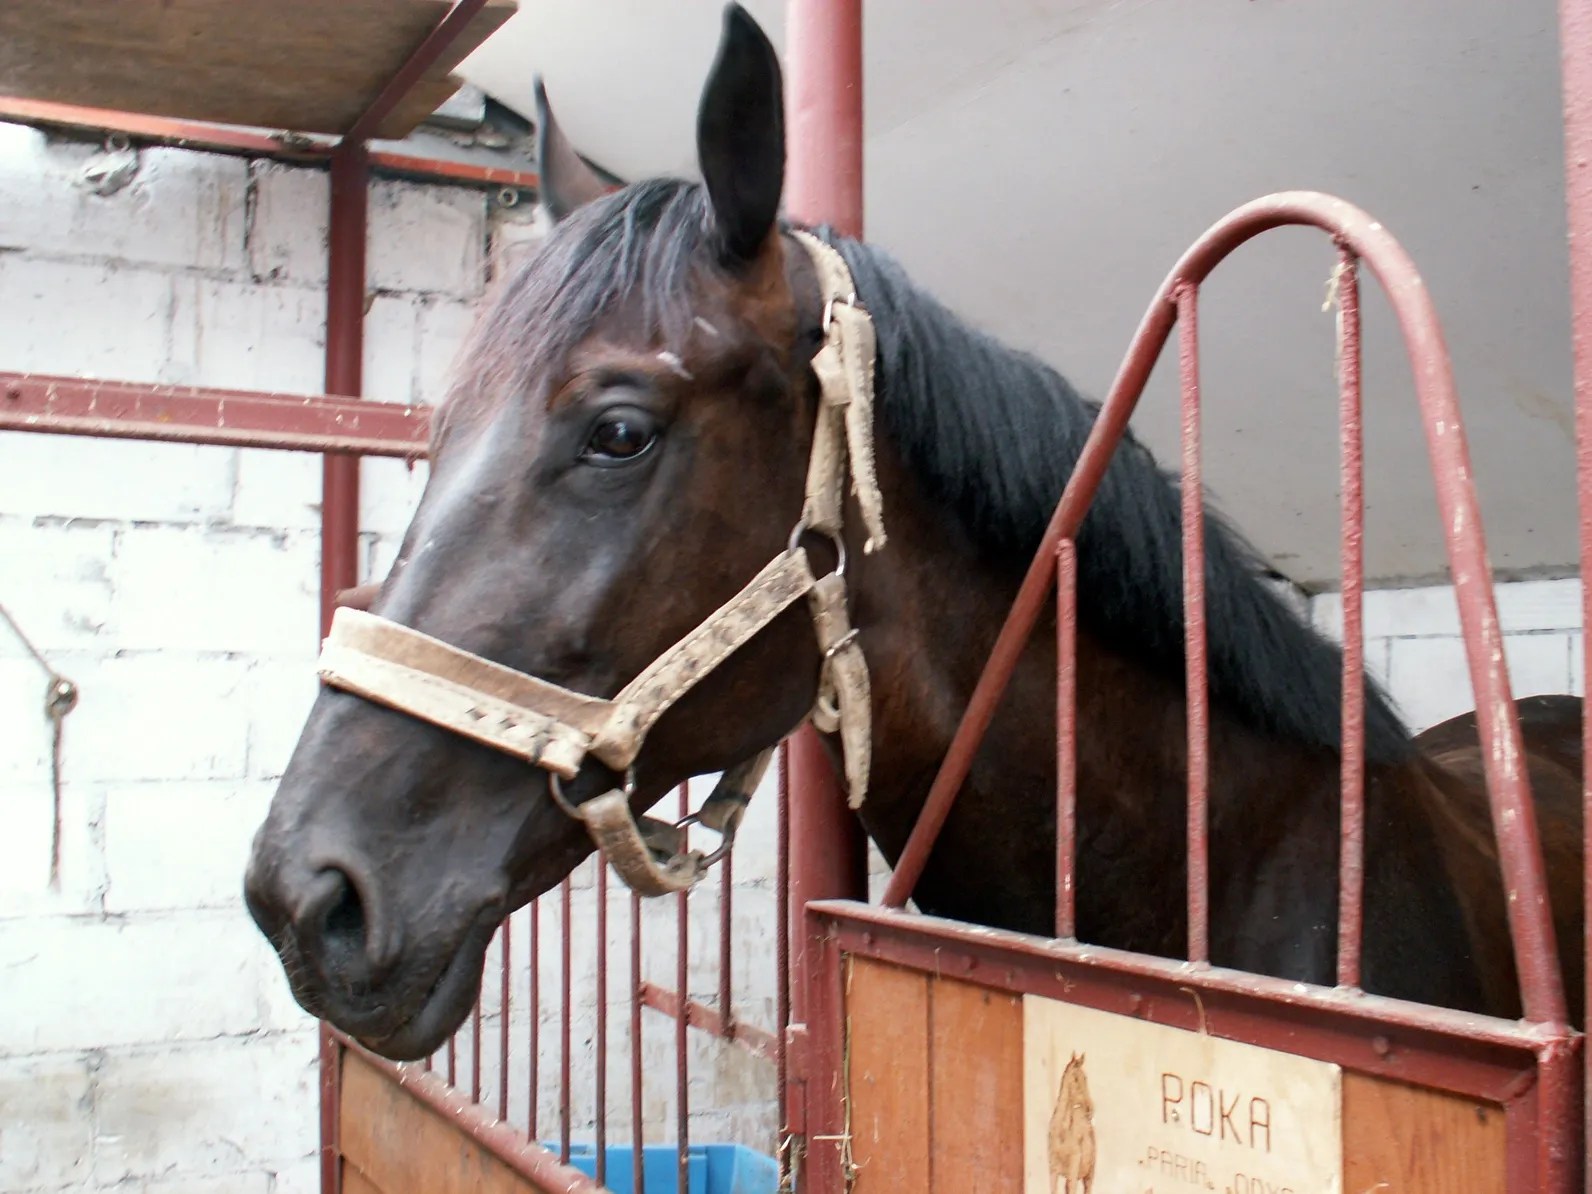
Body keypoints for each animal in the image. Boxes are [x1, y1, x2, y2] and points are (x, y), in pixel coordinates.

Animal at [1048, 1052, 1095, 1194]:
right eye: (1075, 1079)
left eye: (1085, 1078)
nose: (1090, 1109)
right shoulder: (1053, 1170)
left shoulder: (1073, 1170)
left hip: (1088, 1175)